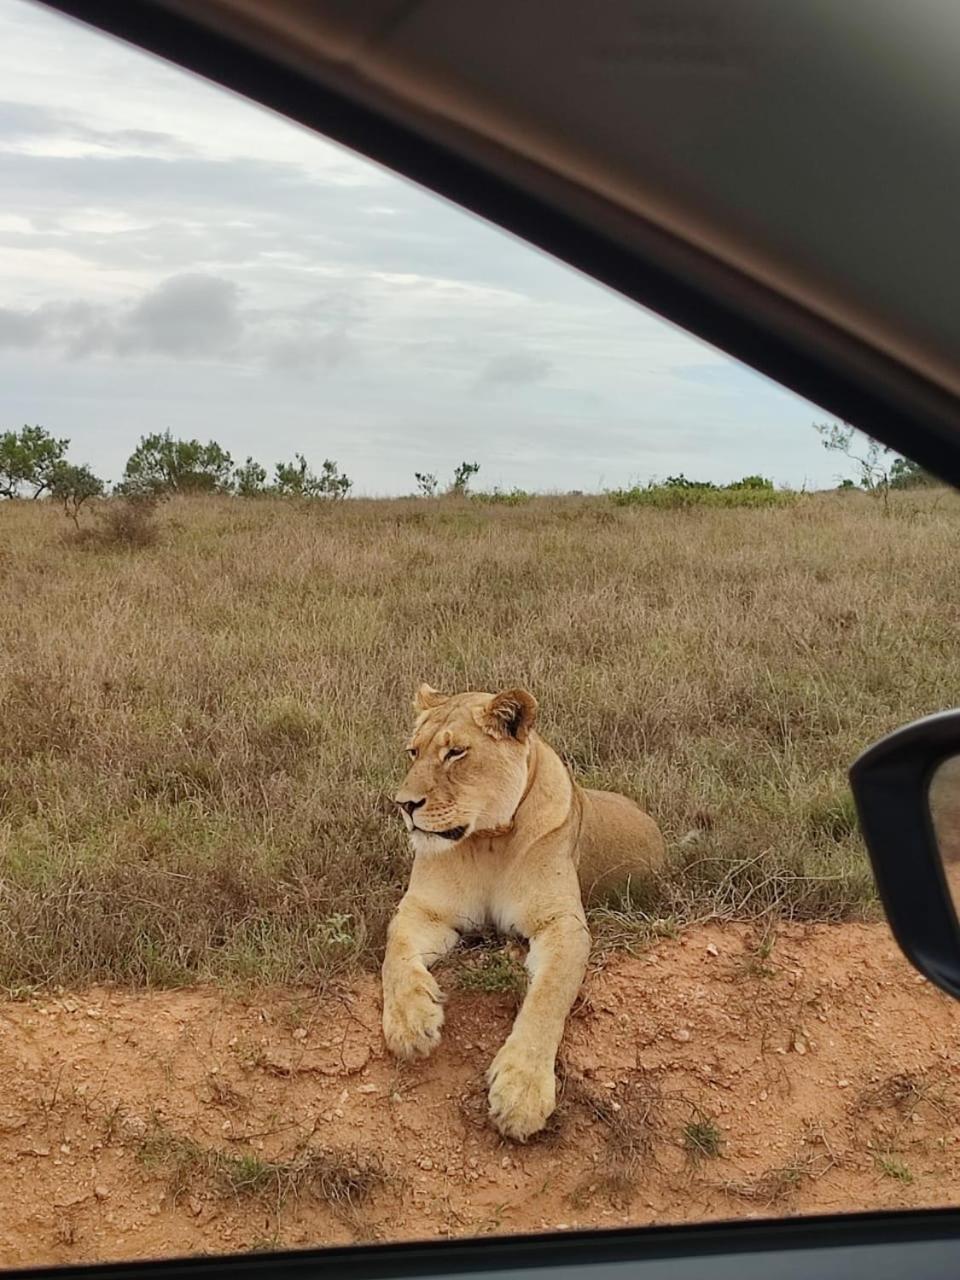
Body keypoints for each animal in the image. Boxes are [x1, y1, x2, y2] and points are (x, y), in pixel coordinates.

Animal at [384, 686, 670, 1146]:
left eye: (455, 753)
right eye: (414, 752)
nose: (404, 805)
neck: (487, 840)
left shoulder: (562, 924)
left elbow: (548, 996)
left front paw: (522, 1091)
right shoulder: (424, 910)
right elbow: (395, 952)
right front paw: (411, 1022)